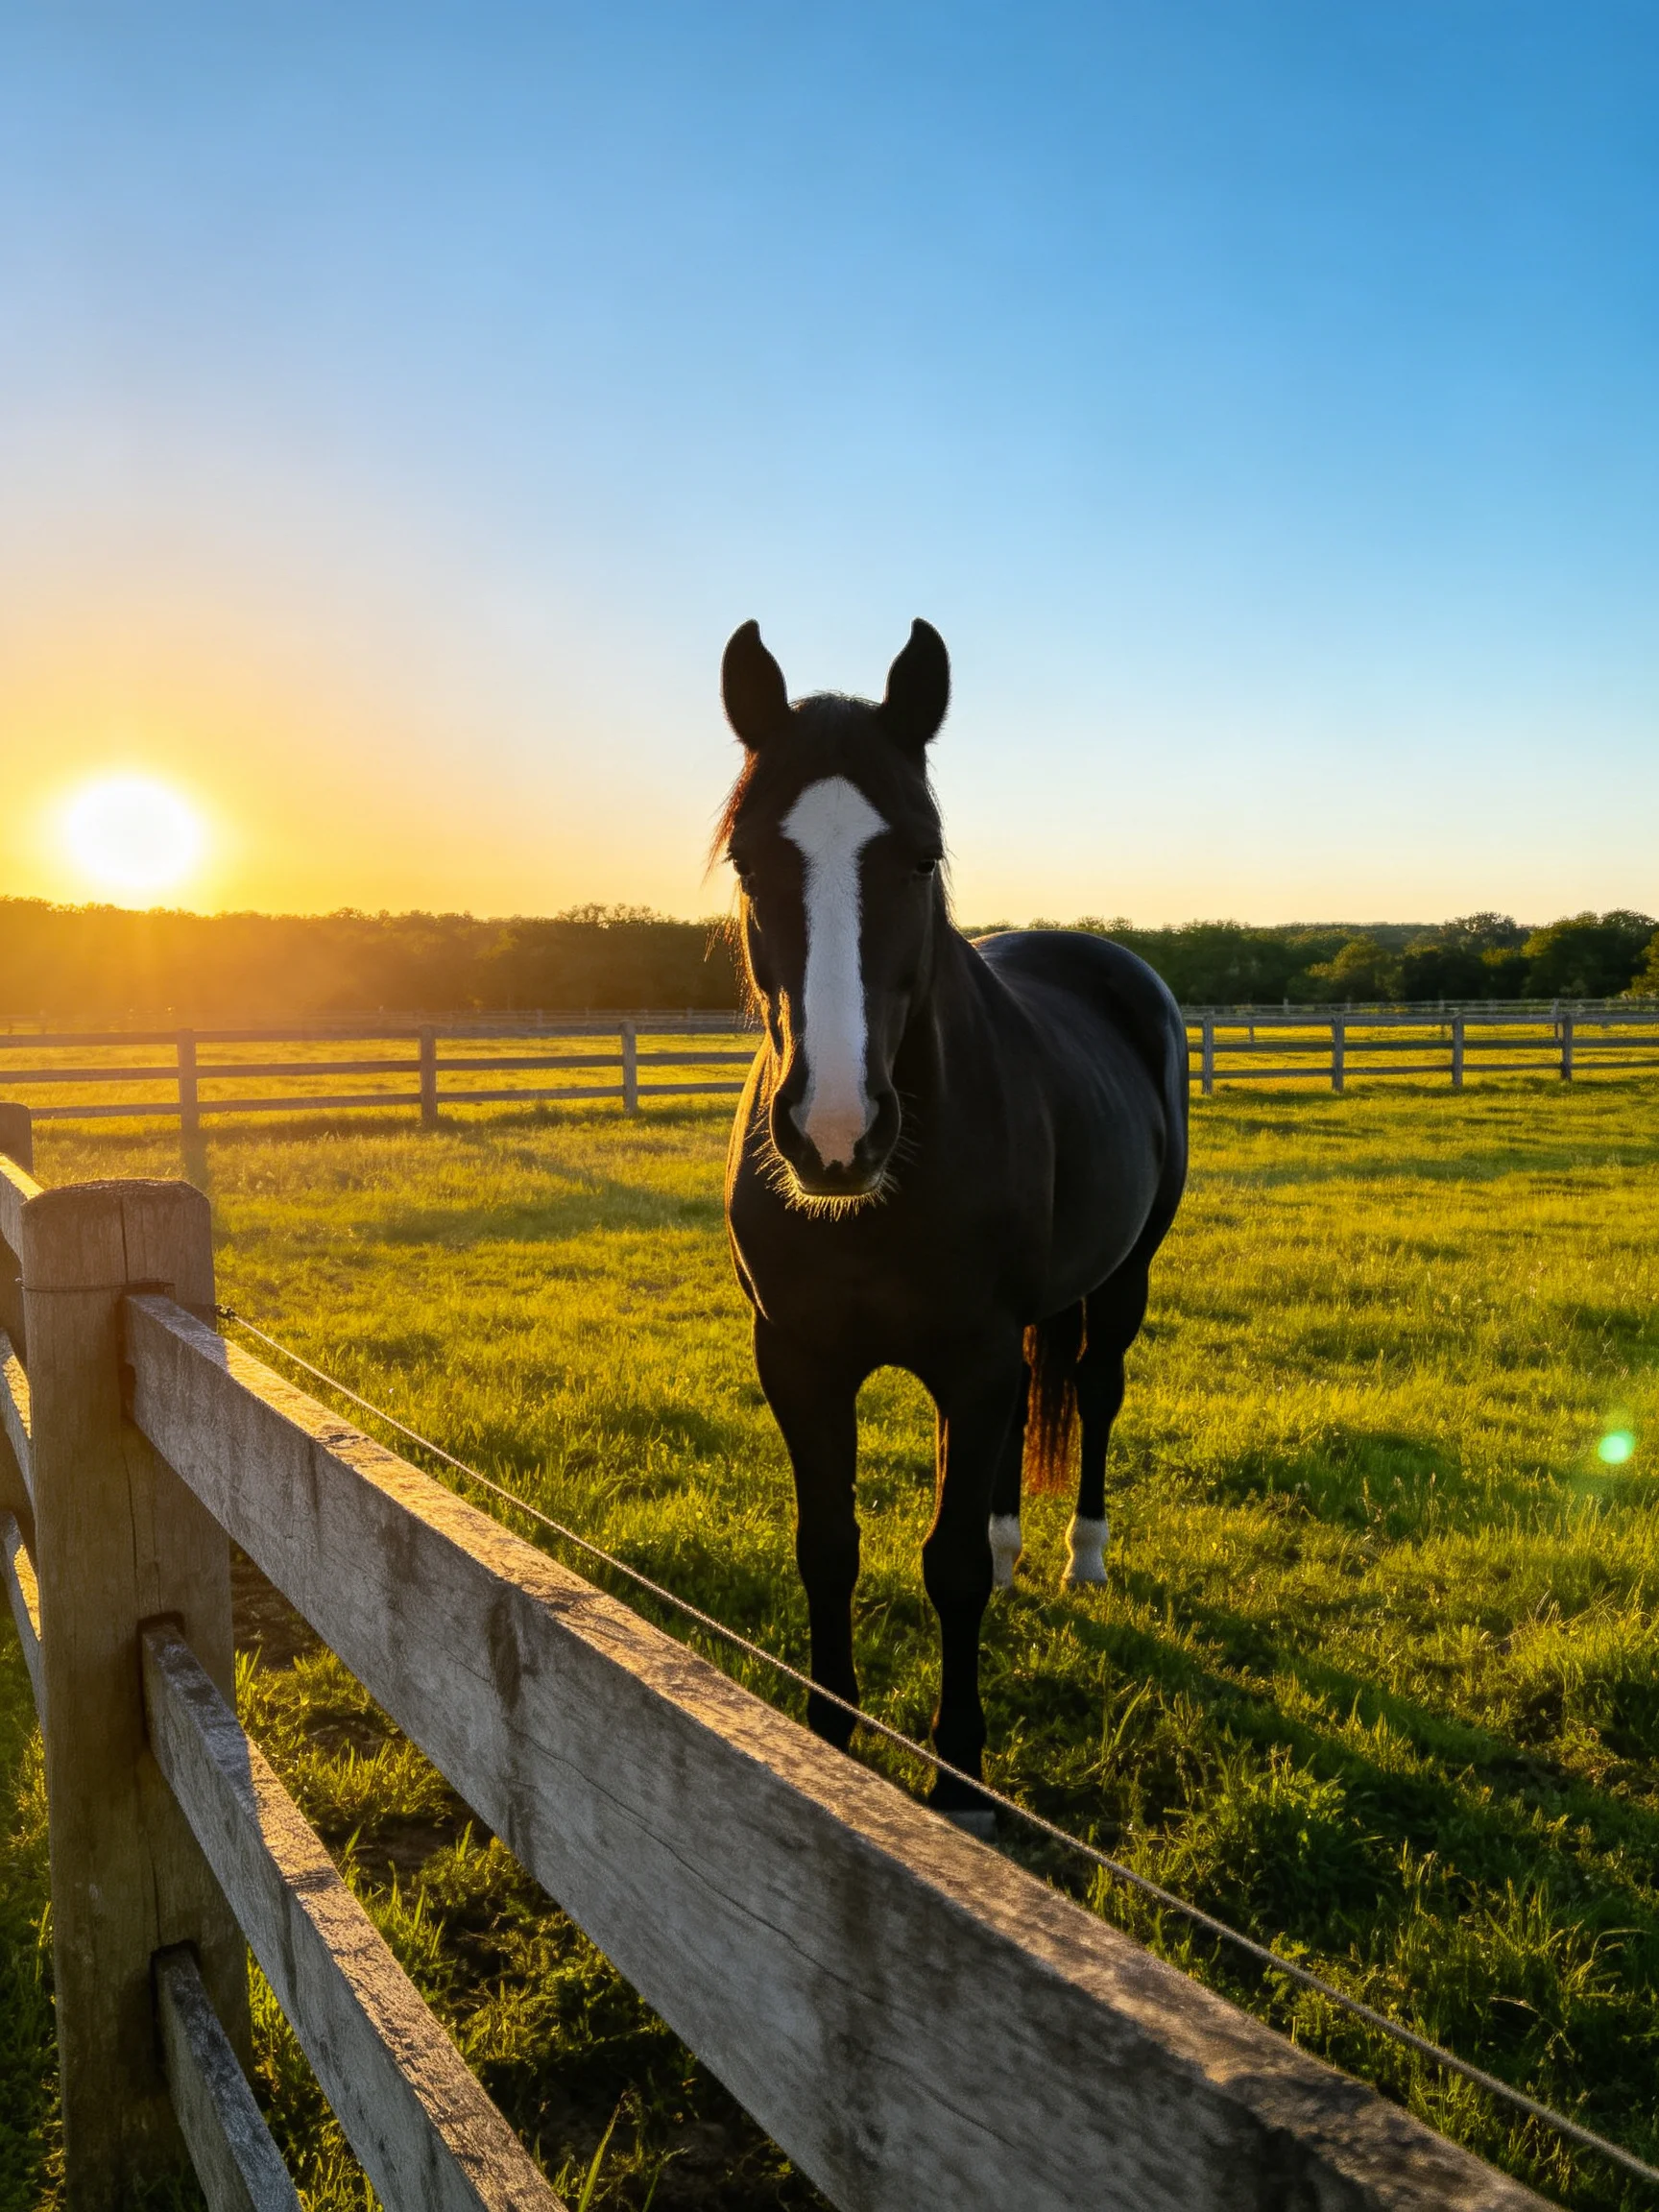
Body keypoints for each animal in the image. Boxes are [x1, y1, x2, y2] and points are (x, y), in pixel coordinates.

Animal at [718, 617, 1188, 1830]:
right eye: (748, 860)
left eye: (922, 857)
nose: (836, 1132)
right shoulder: (800, 1360)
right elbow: (828, 1549)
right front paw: (831, 1739)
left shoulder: (968, 1360)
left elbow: (948, 1570)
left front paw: (960, 1783)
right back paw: (1019, 1542)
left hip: (1124, 1280)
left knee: (1097, 1392)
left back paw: (1080, 1557)